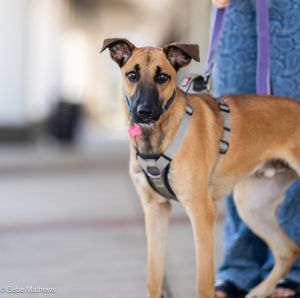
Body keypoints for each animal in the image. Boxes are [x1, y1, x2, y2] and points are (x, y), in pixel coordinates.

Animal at [101, 37, 300, 298]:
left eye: (162, 77)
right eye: (132, 75)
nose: (145, 112)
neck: (156, 139)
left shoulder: (201, 210)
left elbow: (204, 282)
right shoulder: (155, 209)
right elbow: (154, 277)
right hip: (252, 205)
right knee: (288, 250)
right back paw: (259, 291)